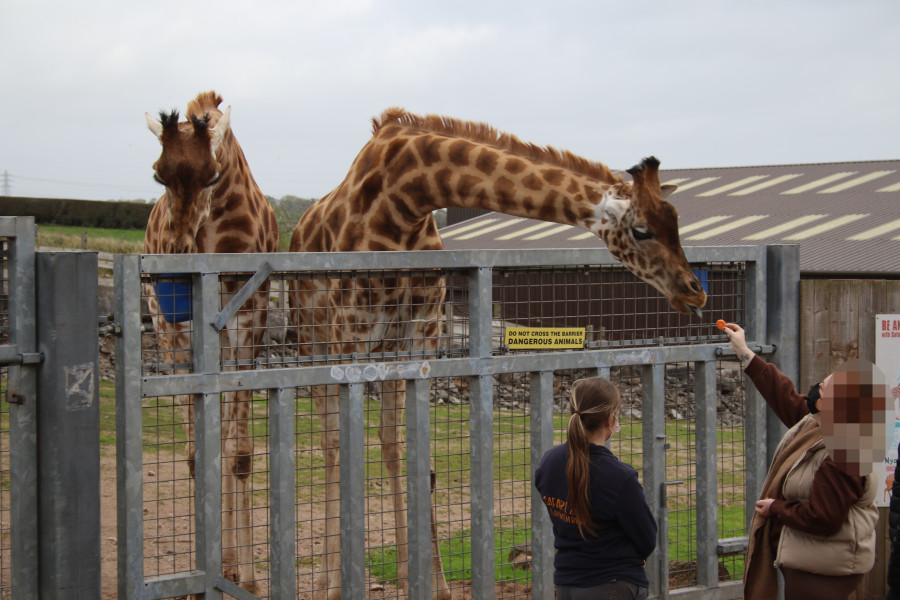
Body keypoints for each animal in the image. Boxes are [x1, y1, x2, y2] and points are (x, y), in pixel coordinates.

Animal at [144, 91, 280, 592]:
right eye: (158, 173)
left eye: (214, 175)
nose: (179, 256)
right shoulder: (174, 333)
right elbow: (195, 454)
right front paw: (203, 574)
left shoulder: (248, 326)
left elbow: (238, 453)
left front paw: (250, 579)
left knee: (225, 439)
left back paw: (233, 565)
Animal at [292, 109, 708, 600]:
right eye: (642, 230)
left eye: (677, 222)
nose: (695, 291)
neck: (406, 198)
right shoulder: (351, 331)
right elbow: (350, 442)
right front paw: (340, 583)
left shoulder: (421, 332)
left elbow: (418, 451)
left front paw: (436, 583)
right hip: (316, 340)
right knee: (332, 442)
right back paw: (328, 579)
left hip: (382, 348)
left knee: (388, 439)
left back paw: (400, 572)